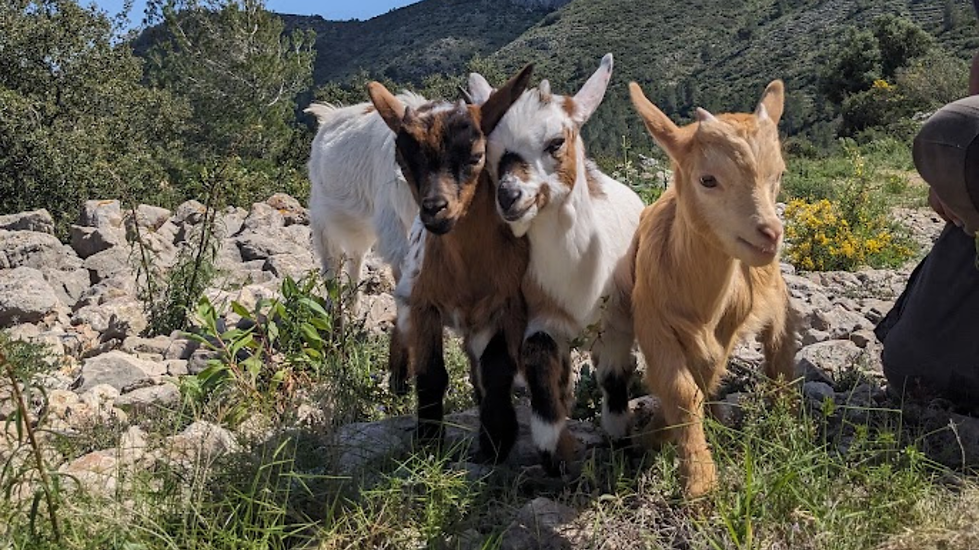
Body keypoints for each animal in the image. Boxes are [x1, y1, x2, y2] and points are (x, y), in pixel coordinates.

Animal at [367, 65, 534, 462]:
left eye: (475, 155)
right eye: (404, 160)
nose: (435, 209)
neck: (468, 273)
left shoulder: (509, 307)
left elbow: (495, 370)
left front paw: (496, 440)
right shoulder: (424, 304)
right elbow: (431, 375)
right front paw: (428, 440)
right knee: (402, 331)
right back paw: (397, 381)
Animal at [484, 54, 645, 472]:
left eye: (556, 142)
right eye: (491, 151)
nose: (509, 196)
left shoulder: (616, 322)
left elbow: (614, 379)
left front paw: (620, 442)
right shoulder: (543, 312)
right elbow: (538, 359)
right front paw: (555, 450)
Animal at [626, 80, 798, 497]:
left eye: (779, 174)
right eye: (708, 179)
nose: (770, 234)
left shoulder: (727, 329)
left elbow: (701, 381)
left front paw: (689, 465)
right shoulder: (652, 321)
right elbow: (681, 389)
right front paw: (697, 477)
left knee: (780, 352)